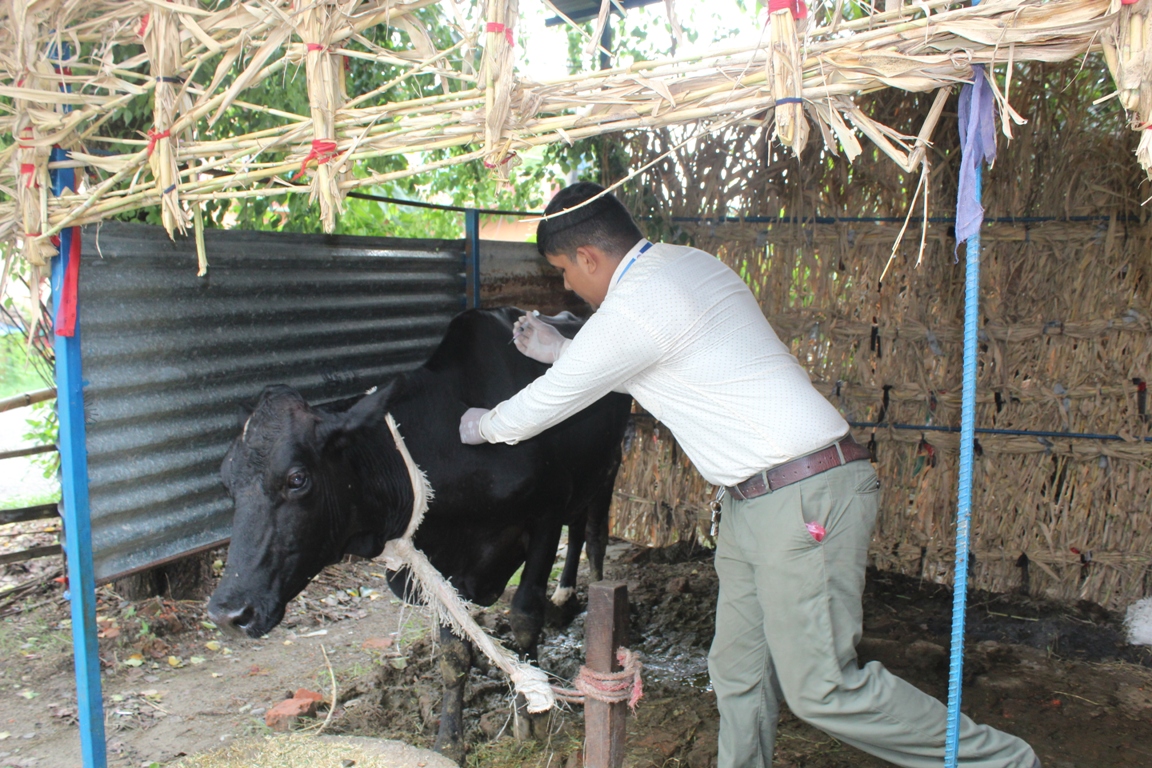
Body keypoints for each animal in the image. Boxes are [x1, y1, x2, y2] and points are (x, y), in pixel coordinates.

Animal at [211, 306, 635, 755]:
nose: (227, 613)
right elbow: (453, 653)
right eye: (225, 481)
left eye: (296, 479)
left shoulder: (545, 516)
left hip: (608, 467)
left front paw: (531, 716)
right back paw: (564, 597)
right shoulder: (438, 561)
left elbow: (523, 617)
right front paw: (450, 739)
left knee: (594, 535)